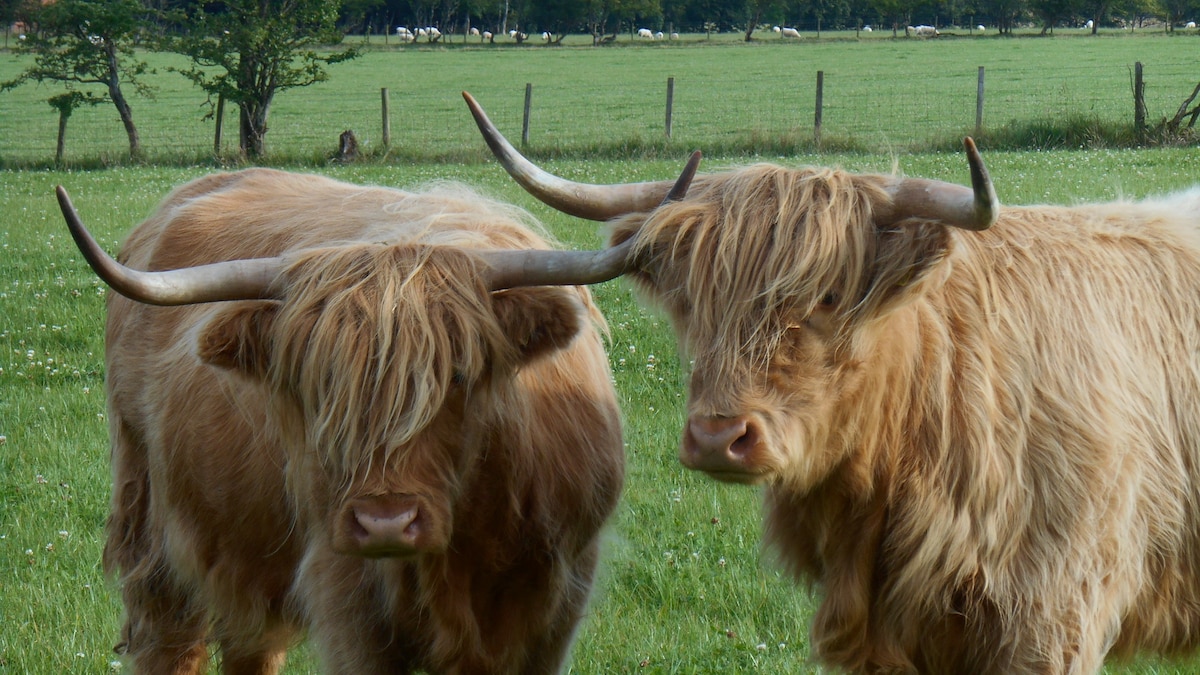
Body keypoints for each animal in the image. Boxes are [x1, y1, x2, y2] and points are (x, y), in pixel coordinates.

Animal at [58, 165, 700, 667]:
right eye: (318, 385)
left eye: (459, 377)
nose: (385, 522)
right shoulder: (346, 601)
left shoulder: (556, 600)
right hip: (153, 526)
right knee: (169, 639)